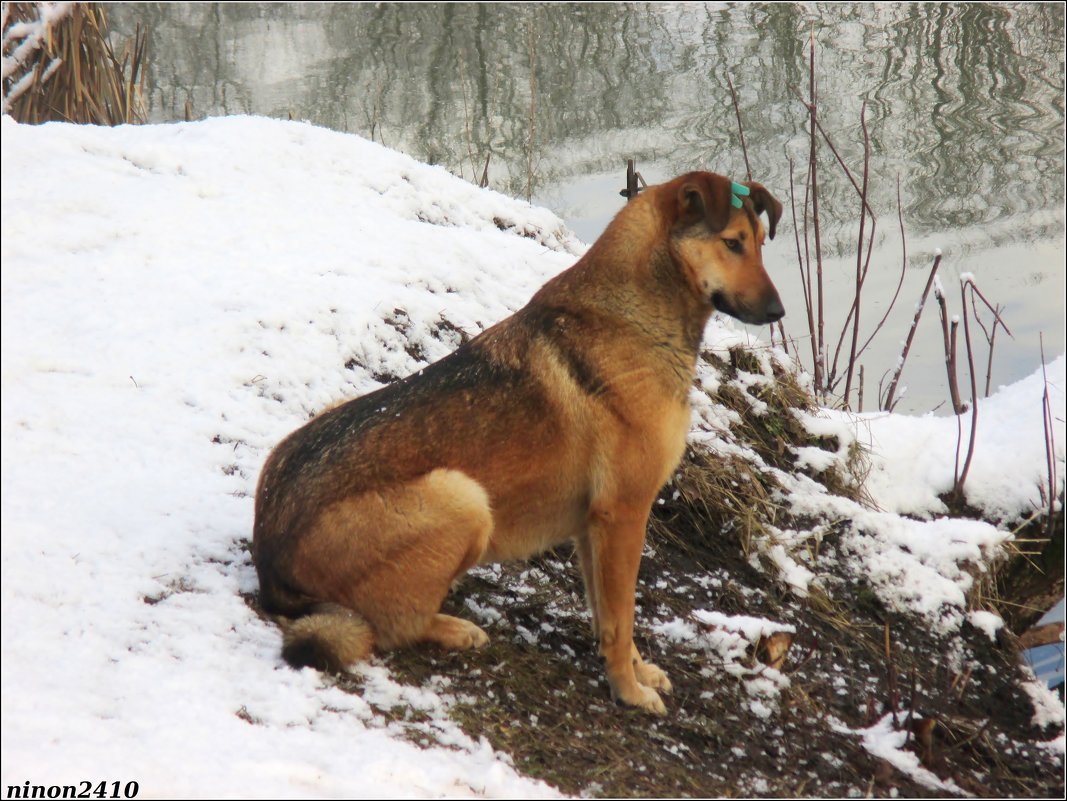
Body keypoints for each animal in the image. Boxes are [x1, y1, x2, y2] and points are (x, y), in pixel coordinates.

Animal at [251, 170, 785, 712]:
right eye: (733, 243)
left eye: (762, 243)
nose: (778, 311)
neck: (637, 316)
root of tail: (268, 557)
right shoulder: (624, 513)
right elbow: (622, 616)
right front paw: (628, 690)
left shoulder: (595, 526)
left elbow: (608, 614)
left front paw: (635, 671)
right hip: (463, 499)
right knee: (390, 623)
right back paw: (453, 628)